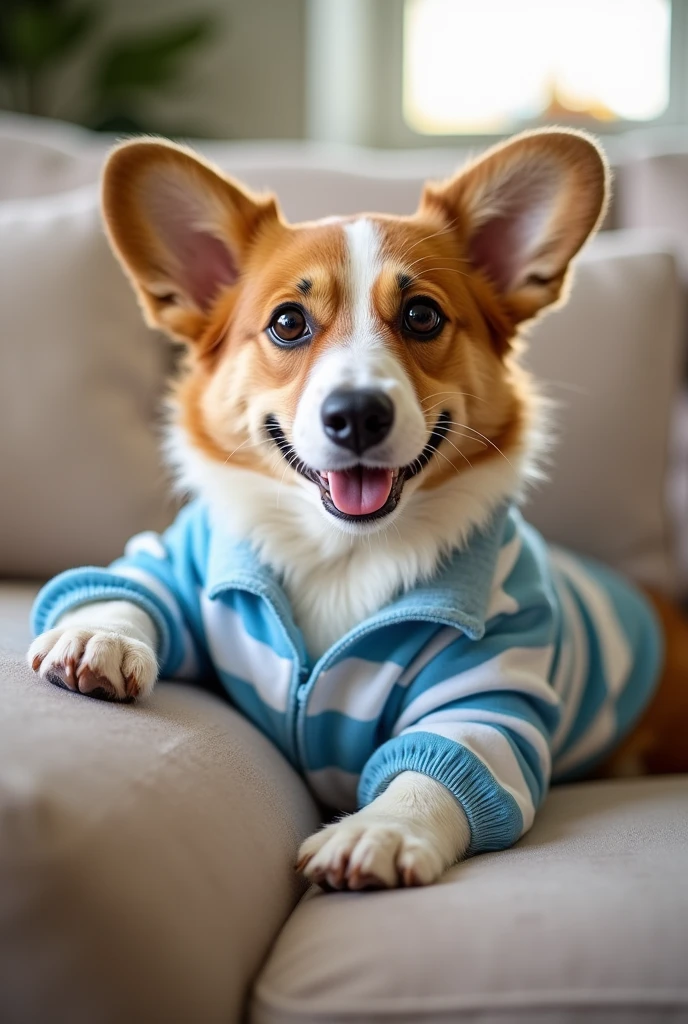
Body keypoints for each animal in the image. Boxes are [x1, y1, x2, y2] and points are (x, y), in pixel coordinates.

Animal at [28, 132, 688, 892]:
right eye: (288, 322)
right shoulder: (181, 562)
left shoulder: (493, 688)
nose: (357, 414)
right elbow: (129, 587)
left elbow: (447, 766)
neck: (341, 550)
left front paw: (381, 831)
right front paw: (97, 638)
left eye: (422, 315)